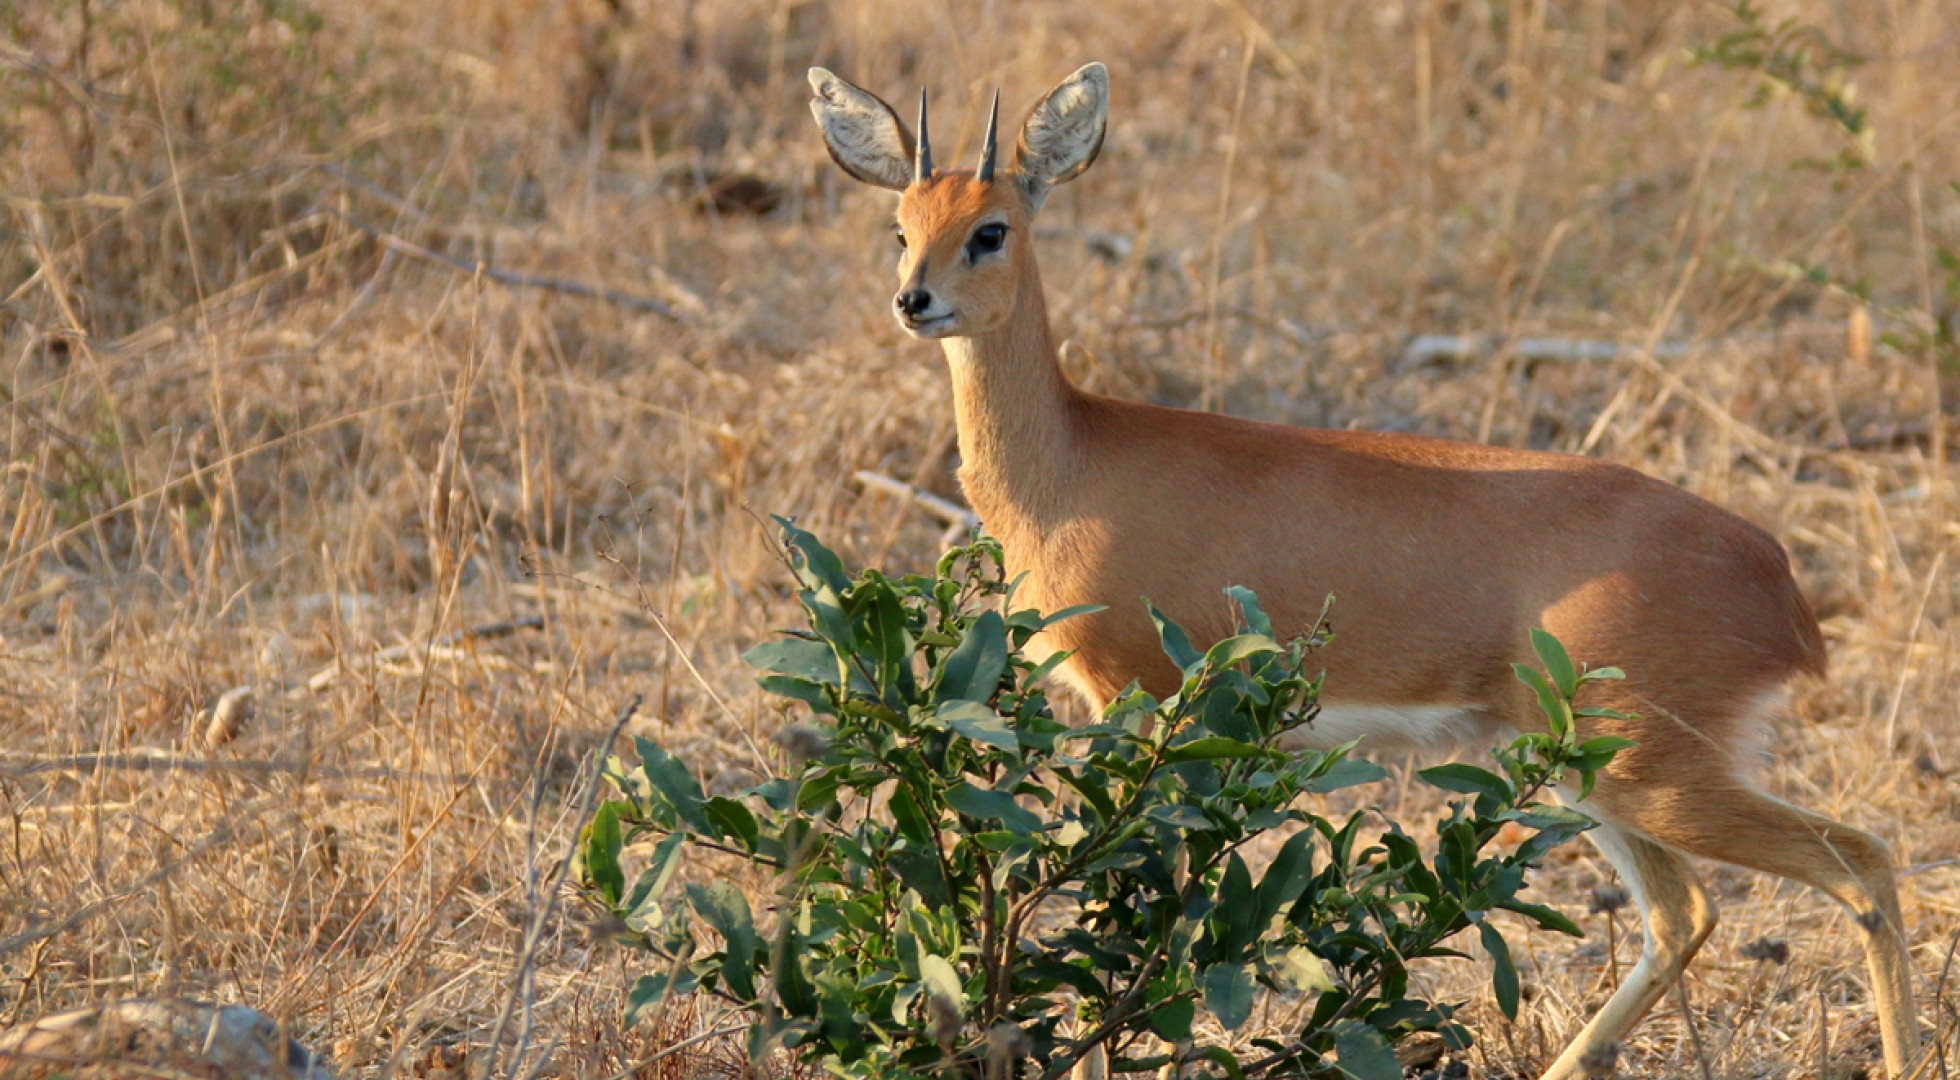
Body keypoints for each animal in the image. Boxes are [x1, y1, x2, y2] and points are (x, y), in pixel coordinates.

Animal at [806, 62, 1920, 1079]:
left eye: (991, 229)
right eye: (900, 225)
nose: (914, 300)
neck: (1074, 465)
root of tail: (1778, 581)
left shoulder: (1134, 698)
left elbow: (1120, 904)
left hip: (1652, 773)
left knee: (1859, 862)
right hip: (1598, 772)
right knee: (1686, 914)